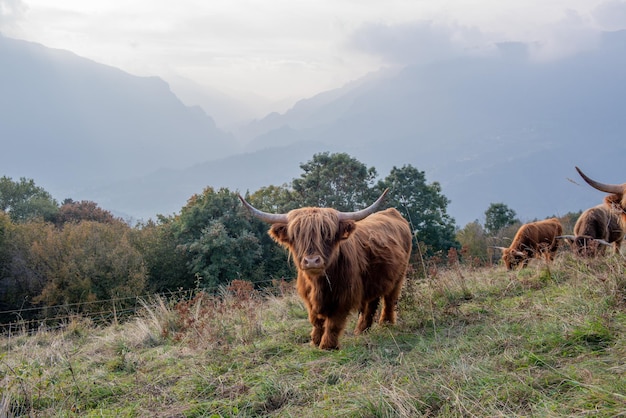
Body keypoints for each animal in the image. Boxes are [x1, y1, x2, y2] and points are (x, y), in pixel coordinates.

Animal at [238, 189, 410, 350]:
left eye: (327, 235)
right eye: (297, 236)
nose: (312, 261)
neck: (318, 284)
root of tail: (391, 212)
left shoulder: (343, 296)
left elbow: (334, 322)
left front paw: (327, 345)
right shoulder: (309, 298)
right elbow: (316, 320)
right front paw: (314, 341)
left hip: (399, 276)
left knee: (389, 300)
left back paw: (386, 324)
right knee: (371, 303)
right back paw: (361, 331)